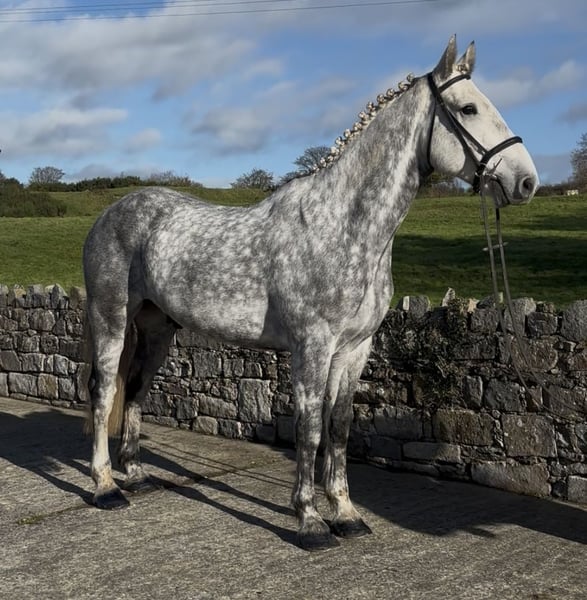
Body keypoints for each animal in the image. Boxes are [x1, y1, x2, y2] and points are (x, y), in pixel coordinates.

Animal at [83, 36, 538, 551]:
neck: (341, 225)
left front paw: (346, 513)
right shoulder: (312, 347)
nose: (526, 180)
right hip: (111, 318)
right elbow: (309, 430)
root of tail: (112, 213)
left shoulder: (354, 350)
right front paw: (310, 520)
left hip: (159, 327)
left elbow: (338, 429)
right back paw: (105, 485)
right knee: (103, 391)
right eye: (467, 108)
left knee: (136, 388)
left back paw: (137, 475)